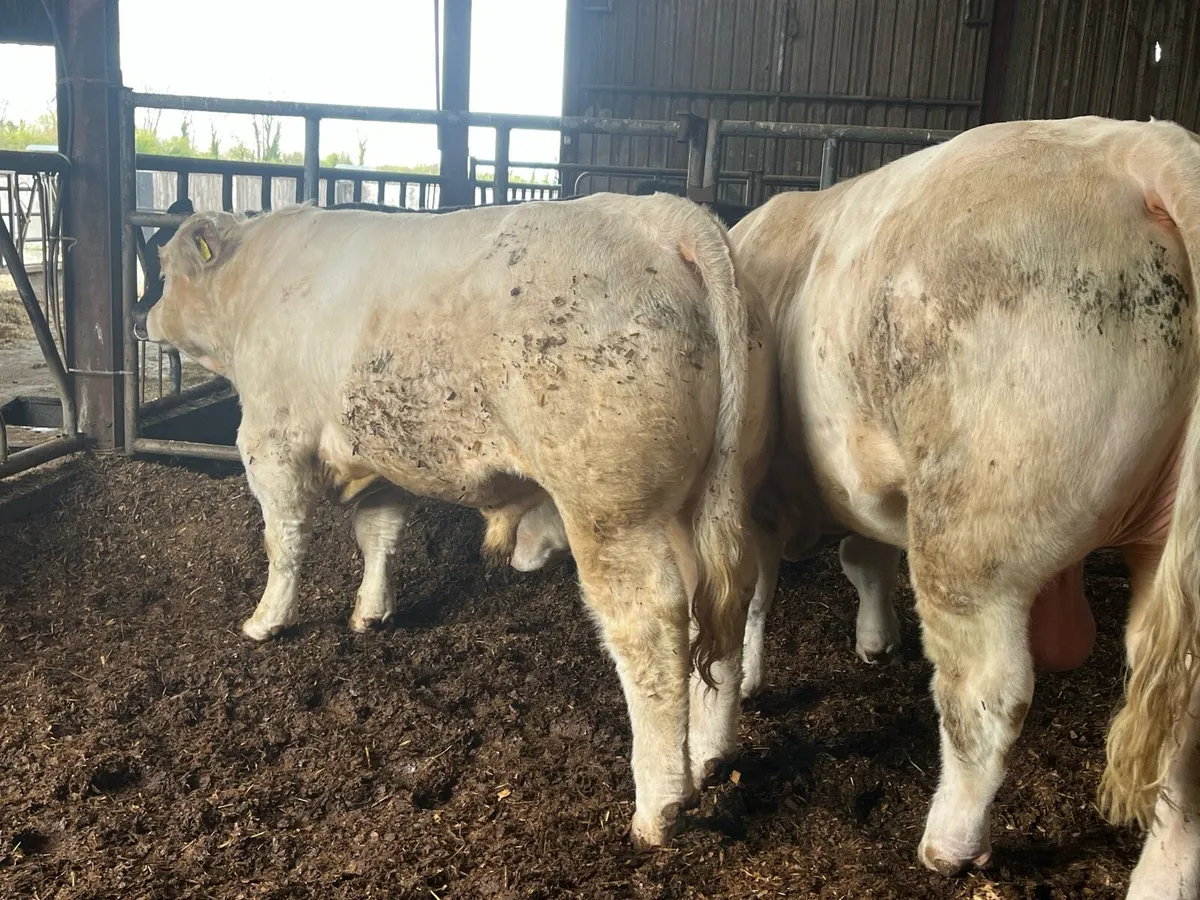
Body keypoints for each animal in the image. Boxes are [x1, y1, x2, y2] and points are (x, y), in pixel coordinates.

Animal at [131, 192, 776, 850]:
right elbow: (379, 534)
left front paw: (266, 621)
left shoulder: (271, 440)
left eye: (165, 269)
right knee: (717, 608)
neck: (255, 283)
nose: (140, 319)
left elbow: (283, 540)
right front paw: (371, 612)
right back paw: (710, 754)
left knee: (650, 625)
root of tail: (661, 217)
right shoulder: (382, 458)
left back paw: (659, 805)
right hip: (705, 498)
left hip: (613, 512)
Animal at [728, 115, 1200, 899]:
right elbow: (862, 555)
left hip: (972, 531)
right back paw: (1162, 881)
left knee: (986, 692)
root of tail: (1137, 148)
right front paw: (874, 639)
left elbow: (758, 593)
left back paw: (951, 841)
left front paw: (747, 678)